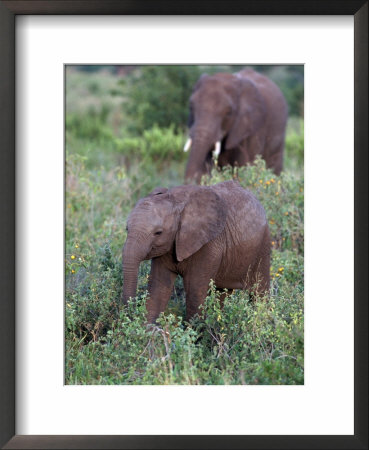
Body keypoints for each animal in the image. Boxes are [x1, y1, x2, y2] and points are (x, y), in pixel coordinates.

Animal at [122, 179, 268, 324]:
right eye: (127, 228)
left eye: (158, 233)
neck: (176, 201)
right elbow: (159, 286)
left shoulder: (209, 244)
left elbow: (194, 290)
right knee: (221, 292)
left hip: (263, 246)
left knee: (259, 292)